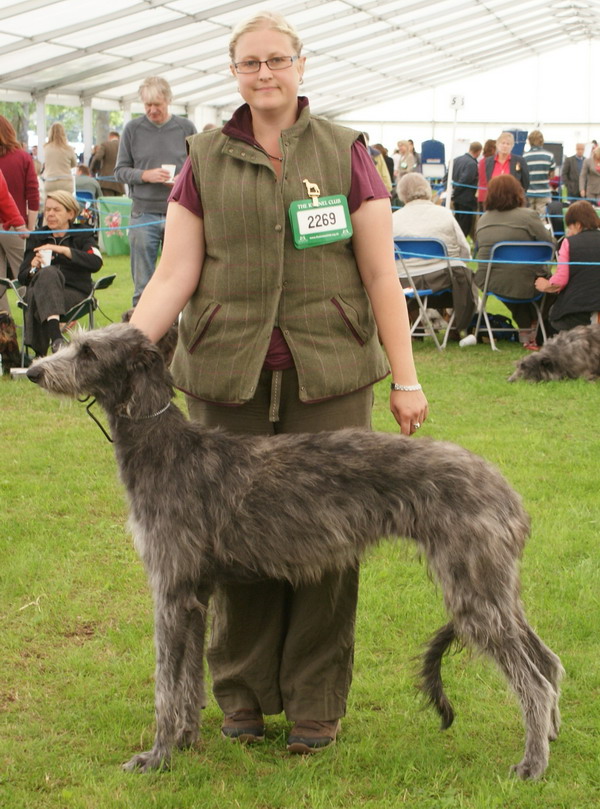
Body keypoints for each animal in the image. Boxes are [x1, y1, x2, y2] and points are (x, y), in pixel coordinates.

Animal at [27, 322, 564, 776]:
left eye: (89, 351)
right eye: (72, 340)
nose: (32, 372)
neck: (165, 446)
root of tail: (507, 491)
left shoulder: (170, 590)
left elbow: (164, 684)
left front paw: (156, 757)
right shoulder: (194, 594)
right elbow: (189, 680)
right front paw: (184, 741)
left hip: (473, 589)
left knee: (533, 680)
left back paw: (532, 764)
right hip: (493, 587)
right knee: (547, 661)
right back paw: (551, 736)